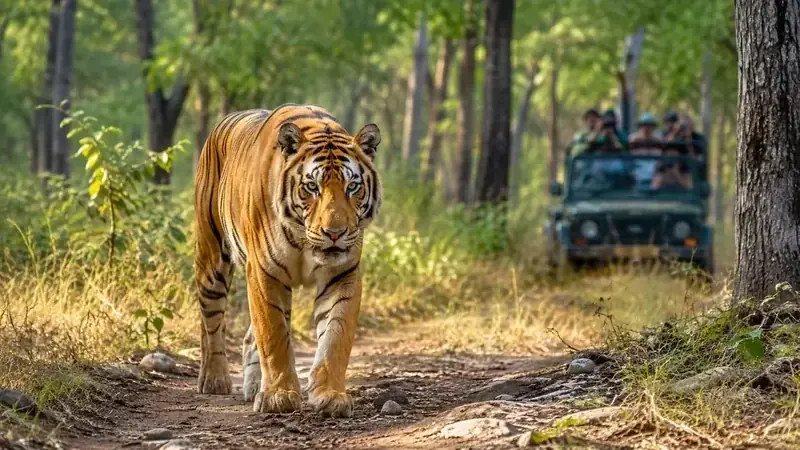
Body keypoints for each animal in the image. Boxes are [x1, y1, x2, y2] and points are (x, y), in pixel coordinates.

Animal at [193, 104, 382, 418]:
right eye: (312, 186)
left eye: (352, 187)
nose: (335, 233)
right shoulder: (264, 273)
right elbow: (273, 335)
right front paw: (279, 397)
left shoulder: (343, 274)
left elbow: (335, 337)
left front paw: (331, 396)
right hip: (211, 258)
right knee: (211, 321)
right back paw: (214, 379)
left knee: (248, 337)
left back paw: (252, 386)